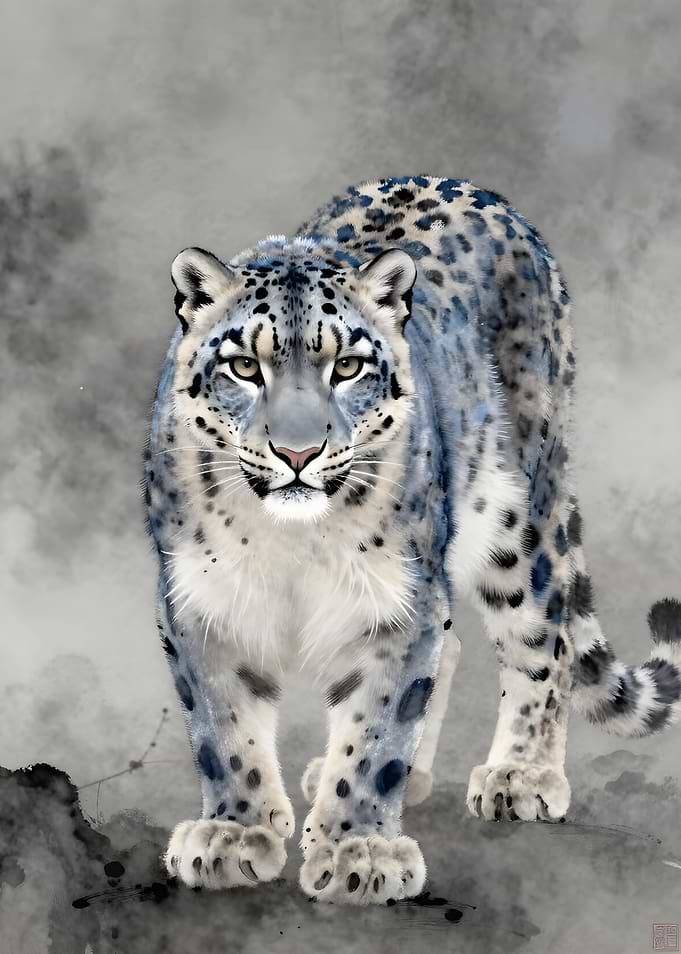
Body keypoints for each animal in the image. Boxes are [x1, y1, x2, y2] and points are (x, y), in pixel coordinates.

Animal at [143, 175, 681, 905]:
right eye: (243, 367)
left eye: (346, 366)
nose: (297, 452)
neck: (290, 543)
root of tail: (484, 192)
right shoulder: (201, 599)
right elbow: (222, 726)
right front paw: (236, 834)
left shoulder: (398, 601)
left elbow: (379, 726)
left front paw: (359, 852)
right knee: (456, 645)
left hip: (517, 518)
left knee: (545, 639)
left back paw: (521, 776)